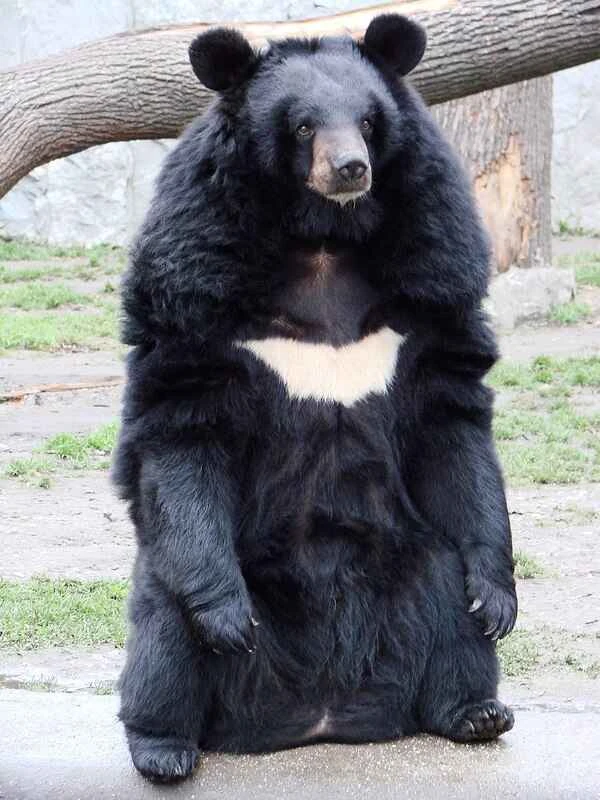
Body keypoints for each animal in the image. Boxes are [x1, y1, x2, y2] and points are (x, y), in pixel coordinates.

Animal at [113, 13, 518, 784]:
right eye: (303, 126)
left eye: (367, 121)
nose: (351, 169)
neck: (324, 234)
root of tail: (319, 716)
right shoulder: (194, 267)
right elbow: (184, 416)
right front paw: (228, 622)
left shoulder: (436, 262)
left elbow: (449, 413)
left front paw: (499, 598)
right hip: (176, 574)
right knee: (163, 640)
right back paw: (165, 748)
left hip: (414, 559)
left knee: (449, 603)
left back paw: (476, 710)